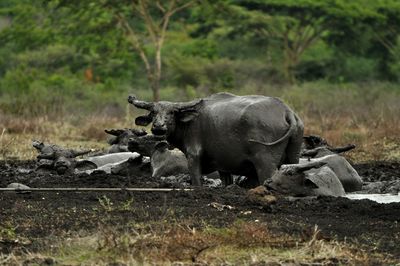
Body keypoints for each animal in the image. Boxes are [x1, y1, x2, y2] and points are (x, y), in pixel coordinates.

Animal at [128, 92, 304, 186]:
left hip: (265, 162)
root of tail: (287, 111)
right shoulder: (223, 166)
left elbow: (196, 180)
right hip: (293, 158)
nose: (158, 127)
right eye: (153, 112)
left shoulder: (193, 156)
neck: (189, 123)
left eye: (171, 113)